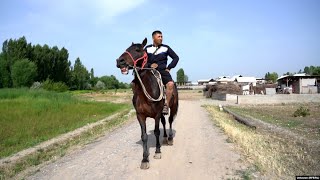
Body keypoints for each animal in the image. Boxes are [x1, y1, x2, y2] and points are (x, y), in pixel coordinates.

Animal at [116, 37, 179, 169]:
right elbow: (144, 136)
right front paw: (145, 159)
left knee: (170, 120)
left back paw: (170, 138)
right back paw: (165, 138)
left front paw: (157, 151)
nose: (120, 61)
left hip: (173, 107)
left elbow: (156, 132)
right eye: (126, 48)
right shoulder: (140, 115)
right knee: (164, 122)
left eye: (137, 49)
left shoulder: (156, 114)